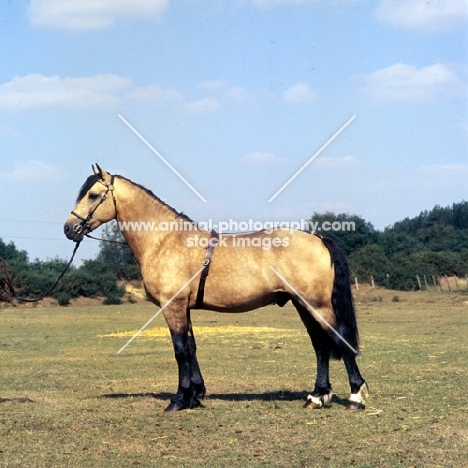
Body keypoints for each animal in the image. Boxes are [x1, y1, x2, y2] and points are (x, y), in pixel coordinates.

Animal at [64, 165, 368, 414]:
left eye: (93, 195)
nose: (69, 229)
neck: (164, 240)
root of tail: (318, 238)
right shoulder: (184, 308)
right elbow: (191, 348)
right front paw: (195, 395)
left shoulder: (173, 307)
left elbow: (180, 350)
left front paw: (179, 400)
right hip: (302, 304)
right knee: (320, 345)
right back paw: (317, 396)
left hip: (318, 305)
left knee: (339, 339)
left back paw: (355, 397)